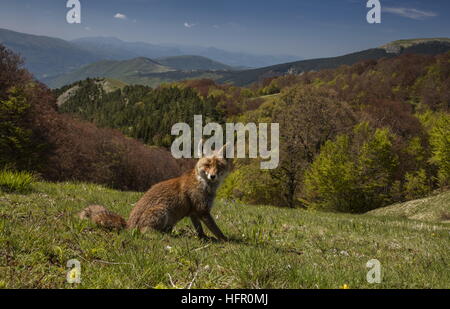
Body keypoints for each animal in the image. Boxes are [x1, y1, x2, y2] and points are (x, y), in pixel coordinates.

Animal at [78, 142, 230, 241]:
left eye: (219, 166)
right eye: (207, 165)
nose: (213, 176)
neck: (203, 183)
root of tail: (127, 225)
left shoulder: (194, 212)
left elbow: (199, 229)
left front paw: (203, 238)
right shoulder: (203, 210)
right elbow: (216, 230)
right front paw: (225, 240)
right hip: (162, 211)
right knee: (144, 232)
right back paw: (164, 236)